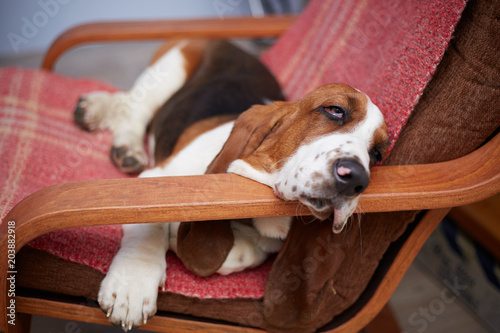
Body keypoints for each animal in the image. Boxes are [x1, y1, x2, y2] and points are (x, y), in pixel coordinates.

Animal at [74, 39, 388, 330]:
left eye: (377, 154)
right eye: (334, 110)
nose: (357, 178)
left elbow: (243, 252)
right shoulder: (153, 182)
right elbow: (148, 229)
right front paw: (132, 285)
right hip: (168, 71)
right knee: (135, 107)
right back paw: (123, 141)